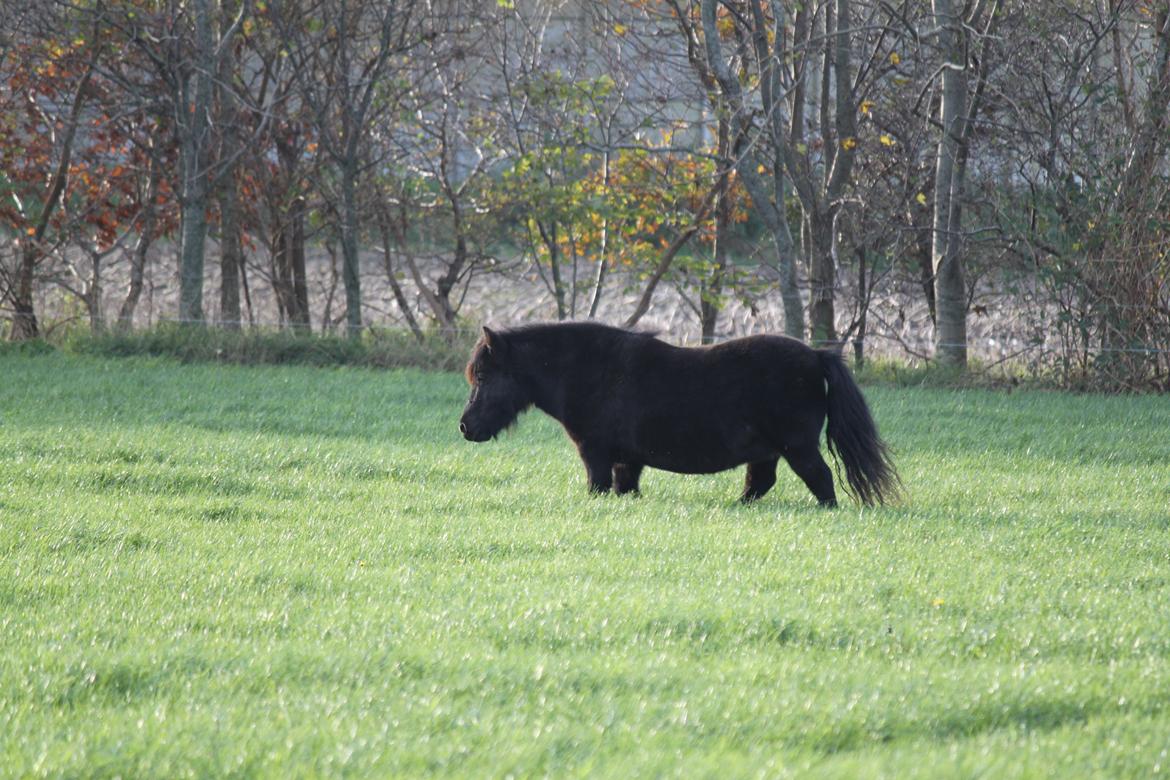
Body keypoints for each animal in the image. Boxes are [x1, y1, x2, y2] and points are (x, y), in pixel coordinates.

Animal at [456, 322, 893, 507]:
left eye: (484, 375)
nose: (465, 426)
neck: (589, 370)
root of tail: (817, 356)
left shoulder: (596, 455)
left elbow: (598, 489)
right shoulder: (627, 462)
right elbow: (625, 491)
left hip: (797, 448)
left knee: (821, 482)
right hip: (768, 452)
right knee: (759, 484)